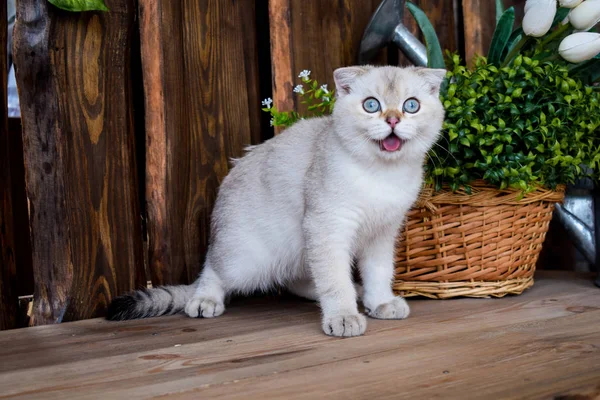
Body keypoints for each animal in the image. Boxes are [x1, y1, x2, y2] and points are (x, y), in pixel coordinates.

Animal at [106, 65, 446, 338]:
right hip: (247, 260)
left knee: (296, 279)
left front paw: (380, 303)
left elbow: (378, 273)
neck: (382, 175)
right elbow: (335, 280)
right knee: (211, 270)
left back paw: (356, 294)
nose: (393, 120)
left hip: (297, 252)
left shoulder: (382, 234)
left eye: (411, 106)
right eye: (371, 105)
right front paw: (343, 317)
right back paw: (203, 302)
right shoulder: (328, 227)